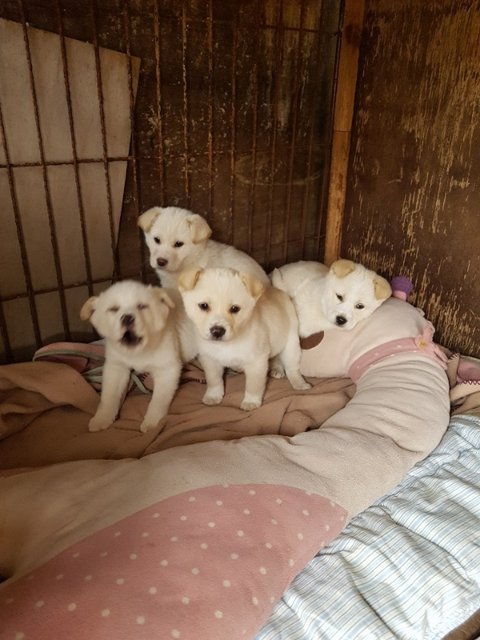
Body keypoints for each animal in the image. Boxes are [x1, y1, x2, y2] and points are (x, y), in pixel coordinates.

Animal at [80, 280, 197, 433]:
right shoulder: (116, 368)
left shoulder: (167, 369)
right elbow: (109, 397)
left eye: (142, 306)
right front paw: (102, 418)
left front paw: (153, 423)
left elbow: (158, 400)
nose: (127, 318)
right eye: (113, 309)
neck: (138, 353)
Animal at [178, 267, 311, 411]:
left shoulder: (257, 362)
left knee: (292, 368)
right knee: (275, 356)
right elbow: (214, 380)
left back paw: (299, 383)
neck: (227, 344)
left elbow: (253, 385)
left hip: (291, 346)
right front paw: (213, 395)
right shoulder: (209, 360)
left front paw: (251, 401)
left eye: (235, 308)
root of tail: (280, 291)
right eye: (203, 306)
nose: (217, 331)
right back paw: (277, 369)